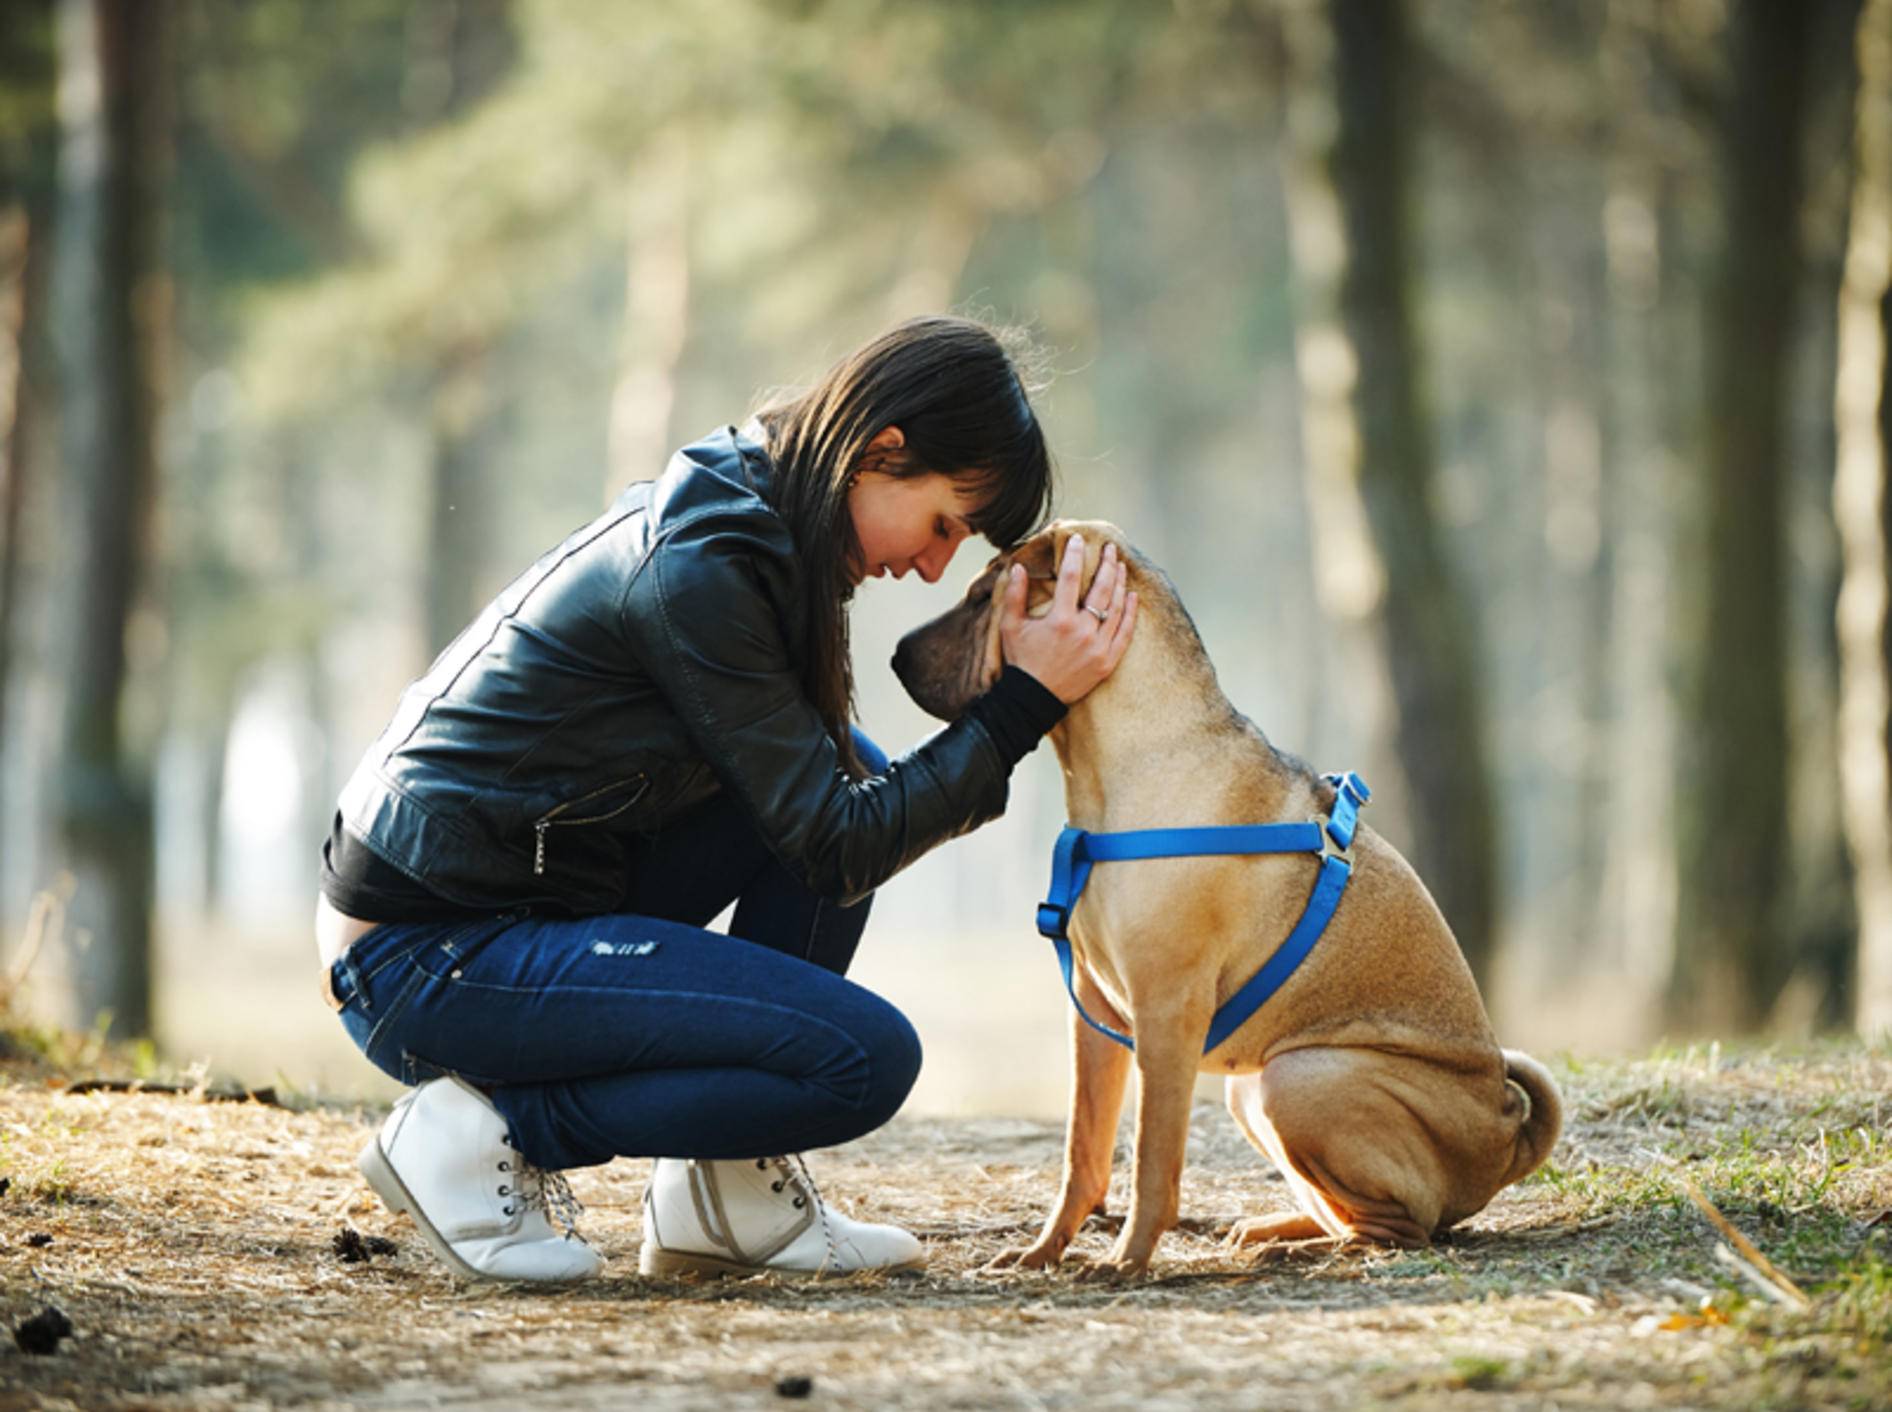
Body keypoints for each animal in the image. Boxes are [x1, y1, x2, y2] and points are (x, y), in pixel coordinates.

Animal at [893, 518, 1559, 1279]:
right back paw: (1270, 1231)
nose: (894, 656)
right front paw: (1042, 1252)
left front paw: (1125, 1258)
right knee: (1347, 1210)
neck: (1125, 764)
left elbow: (1152, 1157)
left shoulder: (1165, 1012)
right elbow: (1082, 1151)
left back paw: (1310, 1248)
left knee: (1404, 1226)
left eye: (983, 597)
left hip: (1301, 1077)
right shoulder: (1095, 1012)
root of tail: (1509, 1135)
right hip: (1253, 1089)